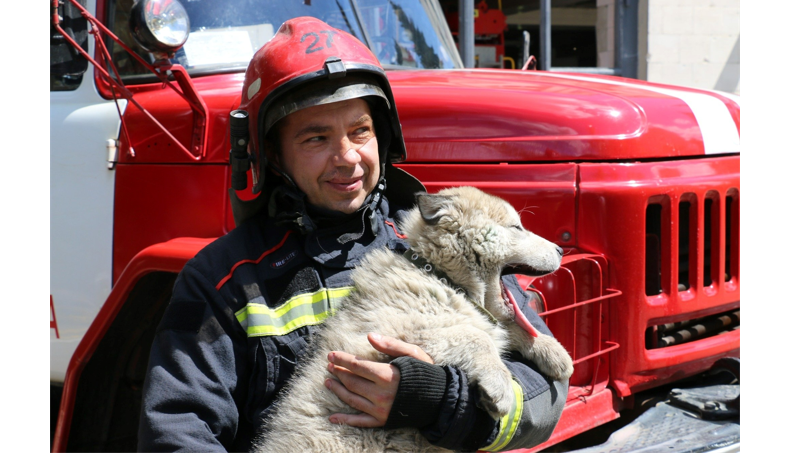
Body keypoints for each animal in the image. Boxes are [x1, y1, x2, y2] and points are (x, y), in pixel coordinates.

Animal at [256, 186, 572, 452]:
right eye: (516, 228)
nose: (560, 250)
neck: (441, 277)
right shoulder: (394, 336)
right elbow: (476, 336)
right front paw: (500, 385)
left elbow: (508, 327)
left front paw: (552, 351)